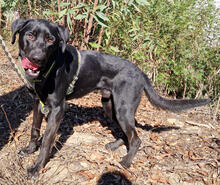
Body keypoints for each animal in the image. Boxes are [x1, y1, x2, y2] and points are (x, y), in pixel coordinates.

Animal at [11, 18, 210, 177]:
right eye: (30, 35)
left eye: (50, 39)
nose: (36, 59)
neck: (50, 69)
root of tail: (141, 72)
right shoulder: (38, 102)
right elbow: (35, 129)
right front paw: (29, 149)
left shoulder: (58, 109)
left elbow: (46, 141)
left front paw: (37, 167)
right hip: (110, 106)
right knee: (128, 132)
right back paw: (115, 146)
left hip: (122, 109)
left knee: (136, 138)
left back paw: (126, 162)